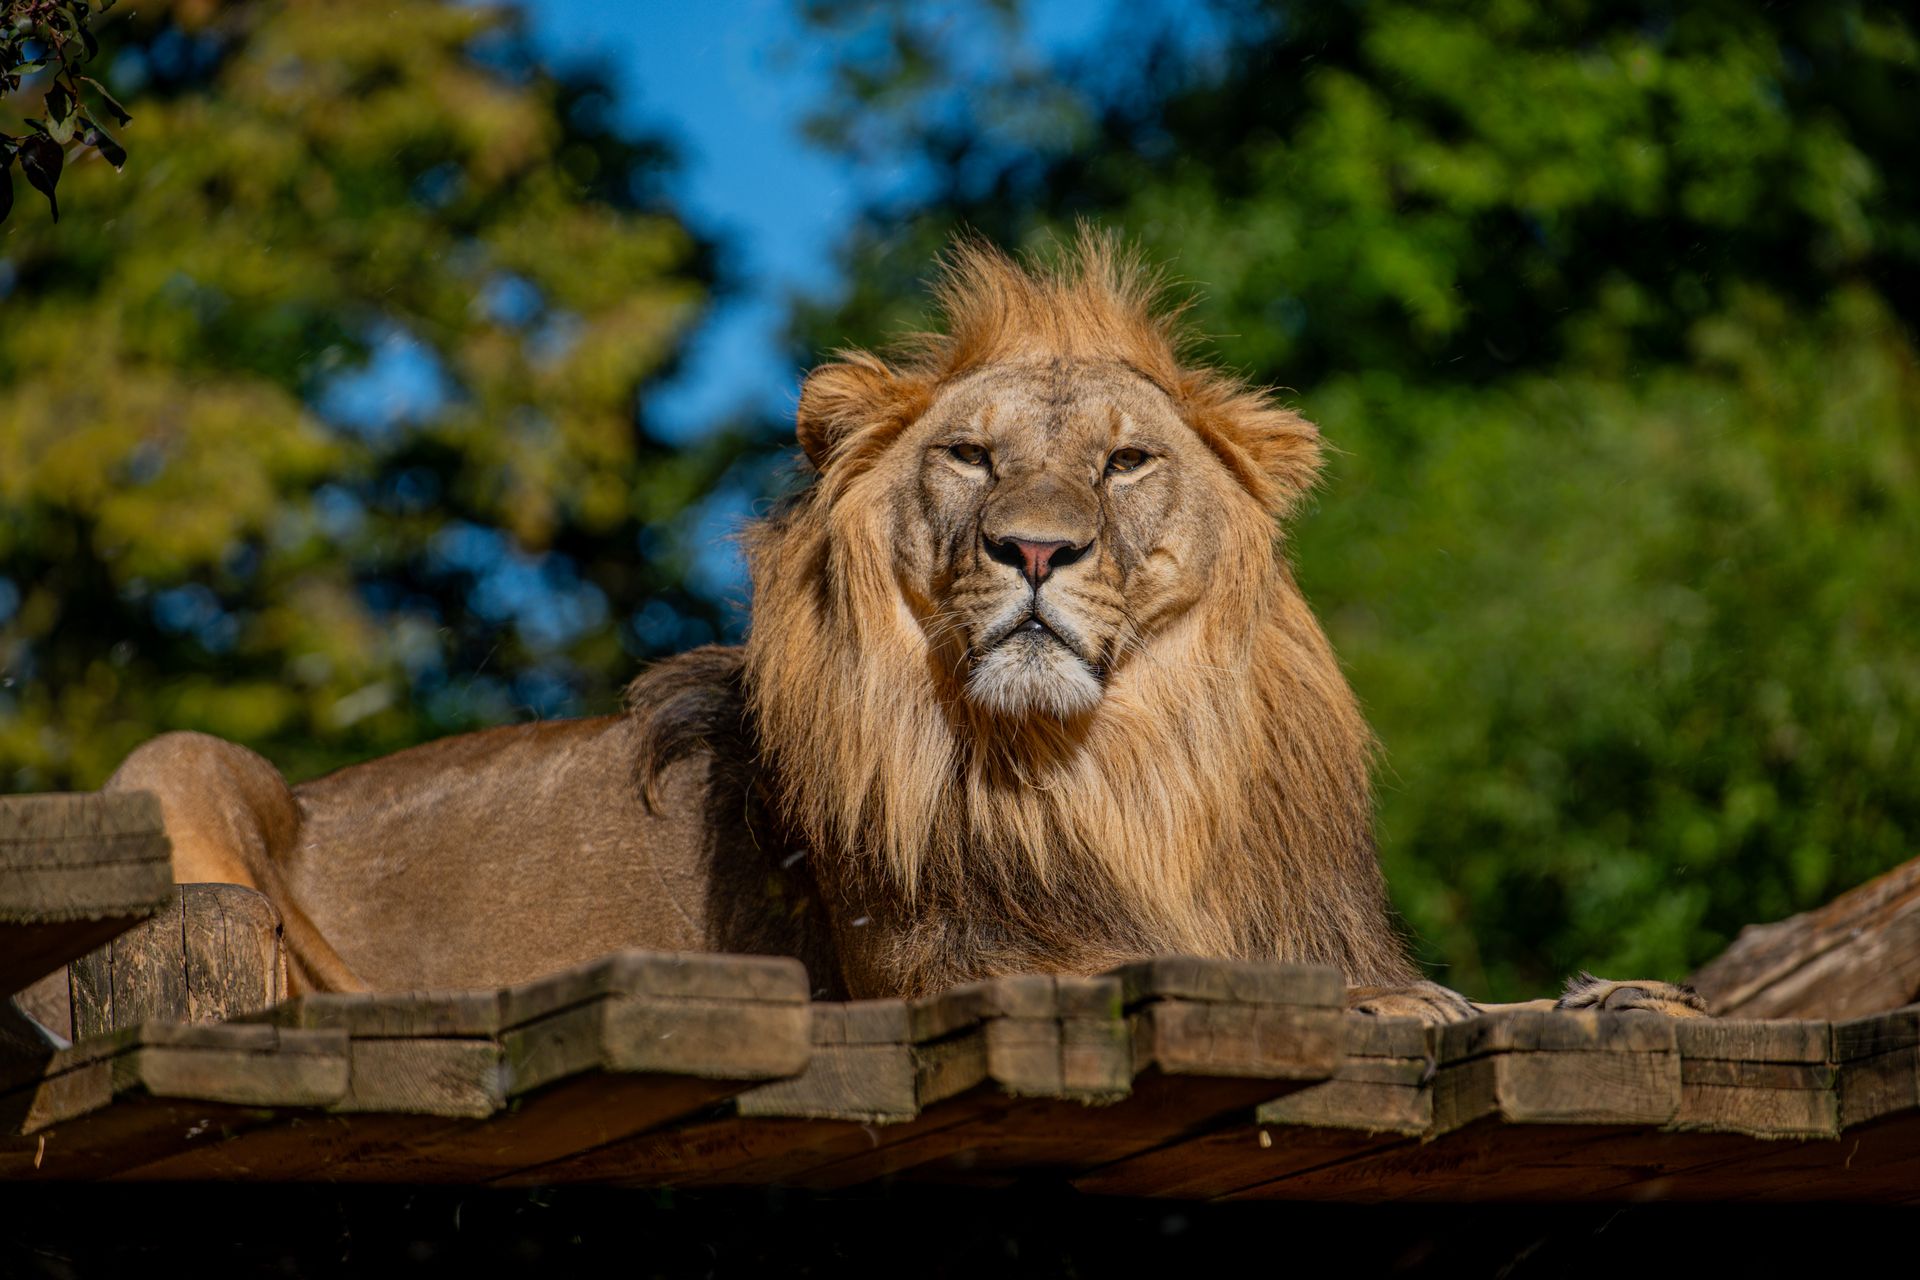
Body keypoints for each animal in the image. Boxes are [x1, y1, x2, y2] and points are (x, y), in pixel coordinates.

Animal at [100, 232, 1705, 1022]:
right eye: (974, 458)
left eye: (1127, 461)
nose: (1037, 547)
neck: (1114, 772)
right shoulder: (947, 965)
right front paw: (1396, 1008)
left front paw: (1622, 995)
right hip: (174, 770)